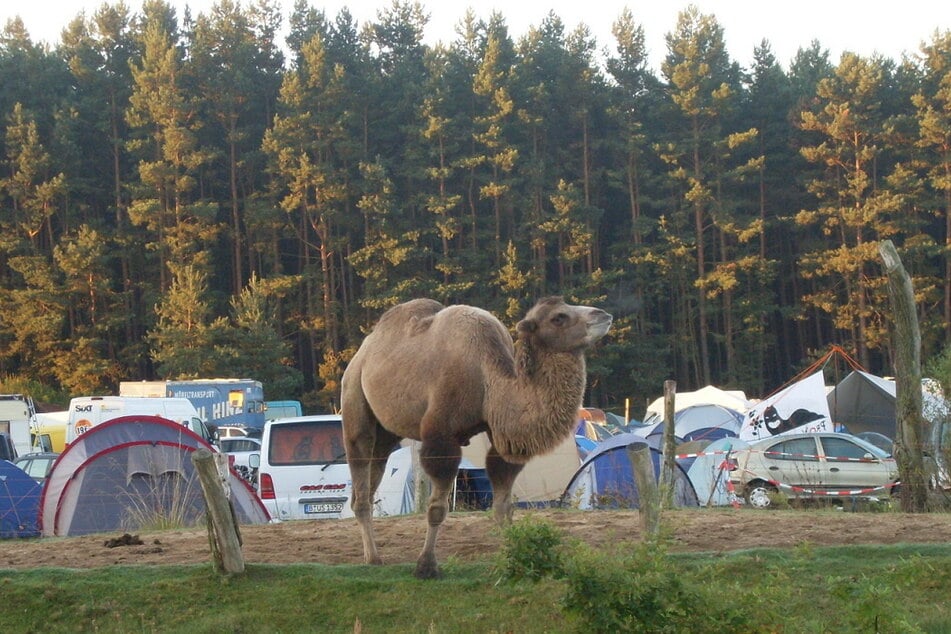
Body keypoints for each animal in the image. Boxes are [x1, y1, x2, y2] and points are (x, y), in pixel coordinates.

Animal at [338, 296, 612, 576]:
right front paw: (426, 566)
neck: (487, 378)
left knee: (369, 481)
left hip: (386, 434)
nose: (603, 314)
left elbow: (503, 506)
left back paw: (370, 554)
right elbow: (437, 508)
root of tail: (361, 353)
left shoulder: (500, 433)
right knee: (360, 464)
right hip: (354, 399)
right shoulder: (441, 437)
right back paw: (373, 558)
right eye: (558, 317)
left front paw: (513, 558)